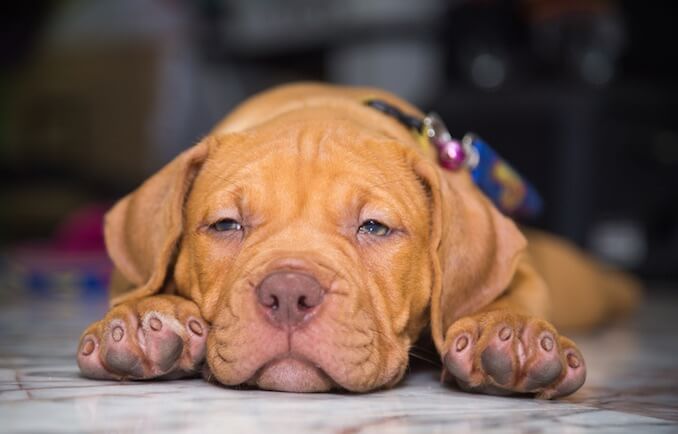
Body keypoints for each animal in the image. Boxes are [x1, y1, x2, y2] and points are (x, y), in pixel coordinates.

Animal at [77, 83, 640, 398]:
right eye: (225, 225)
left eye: (374, 227)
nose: (288, 294)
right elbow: (138, 286)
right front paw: (145, 318)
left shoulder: (522, 272)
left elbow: (511, 292)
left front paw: (509, 331)